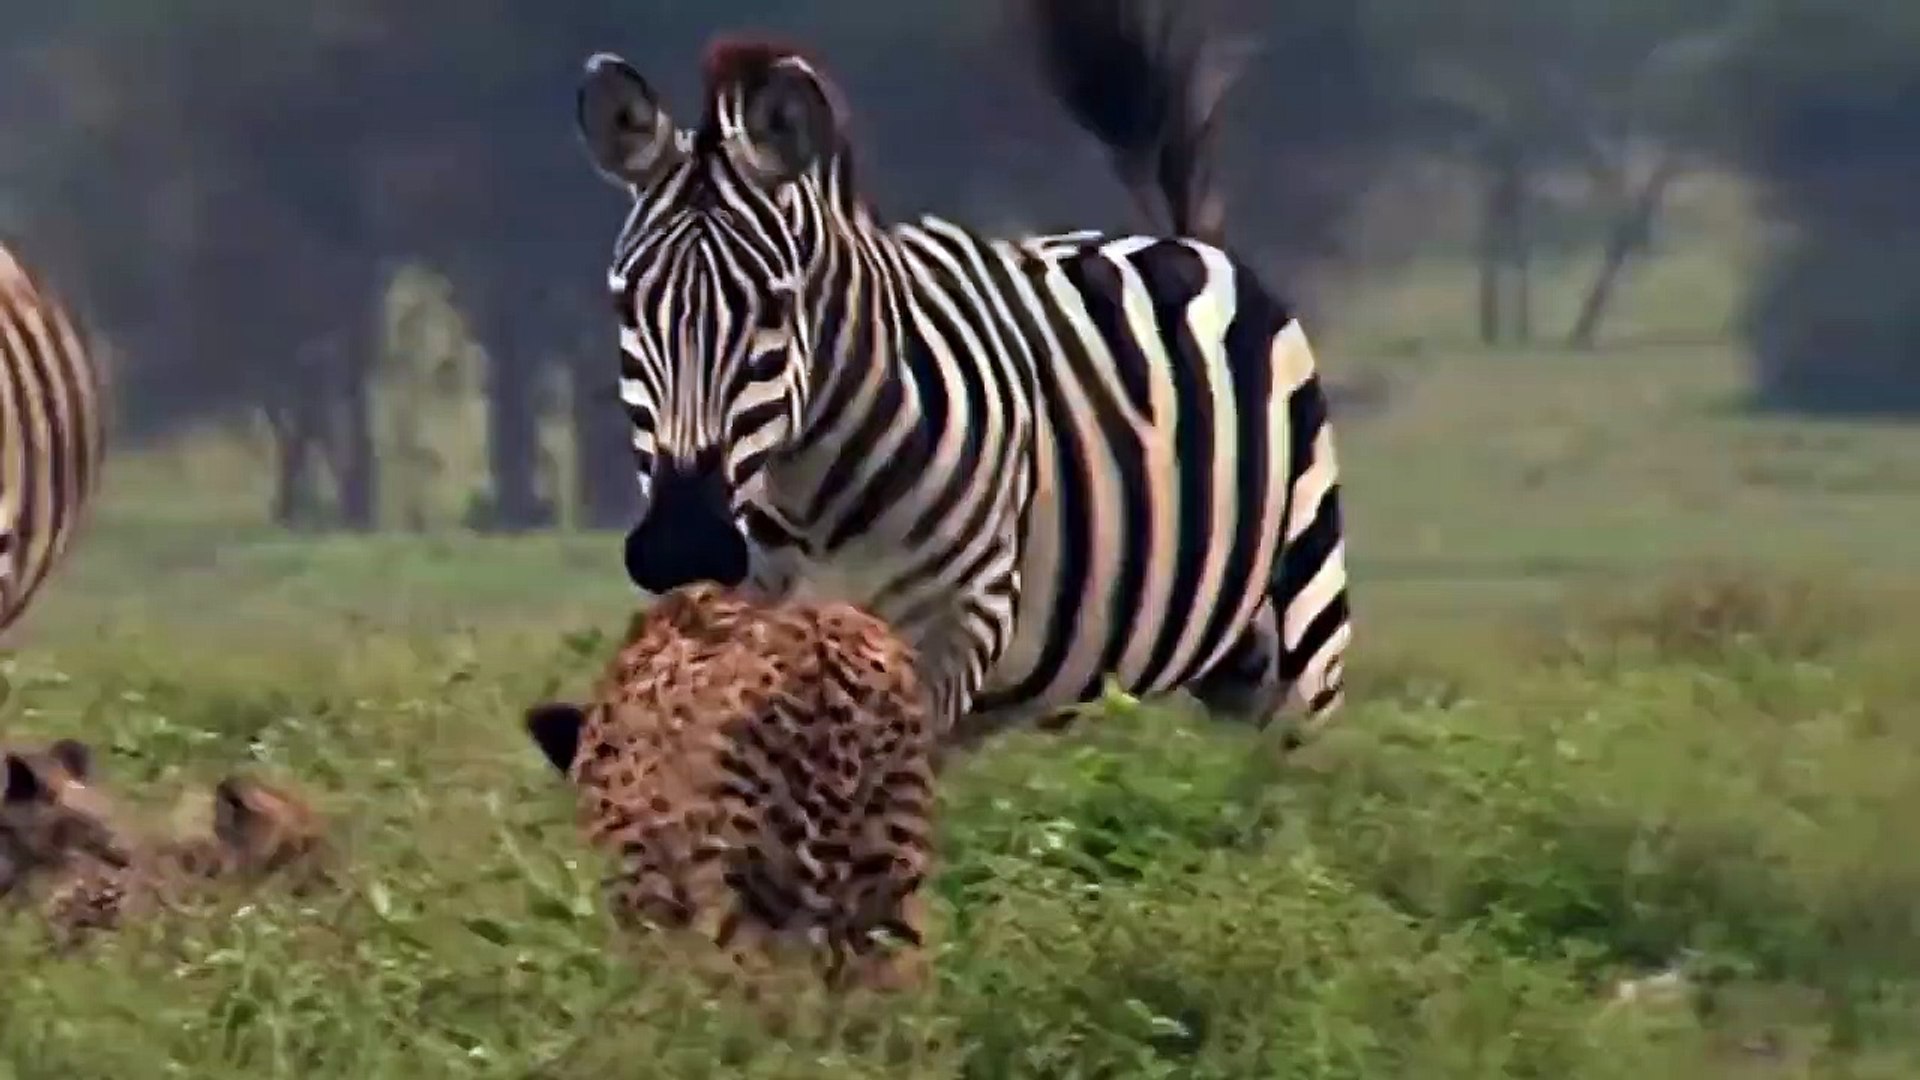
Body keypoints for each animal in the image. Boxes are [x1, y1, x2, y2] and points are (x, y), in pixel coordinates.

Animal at [568, 0, 1351, 753]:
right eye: (626, 306)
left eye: (775, 307)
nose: (682, 544)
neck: (809, 492)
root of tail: (1188, 243)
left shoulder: (958, 618)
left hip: (1304, 628)